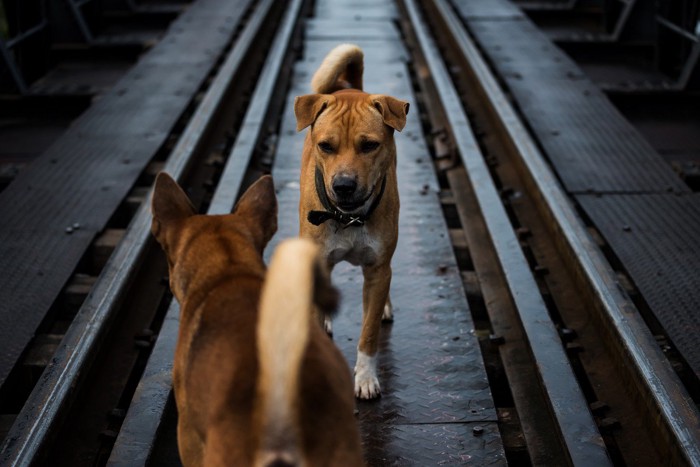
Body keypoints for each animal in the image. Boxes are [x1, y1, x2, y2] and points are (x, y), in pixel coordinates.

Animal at [294, 45, 410, 400]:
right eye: (325, 146)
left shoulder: (377, 268)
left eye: (369, 145)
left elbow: (368, 333)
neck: (348, 216)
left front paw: (366, 377)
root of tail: (348, 87)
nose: (344, 185)